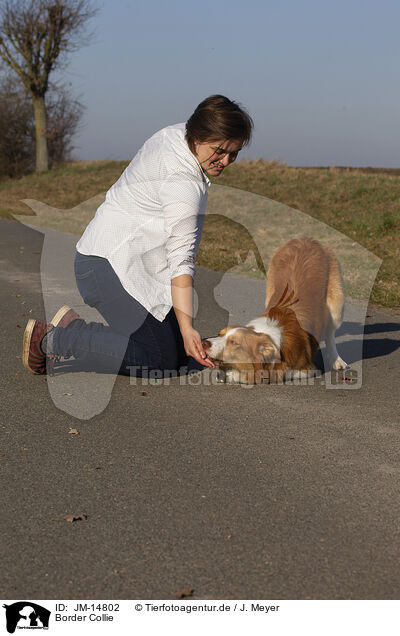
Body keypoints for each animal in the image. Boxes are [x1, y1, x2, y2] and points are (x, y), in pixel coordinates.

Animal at [203, 237, 346, 382]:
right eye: (219, 334)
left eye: (233, 342)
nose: (204, 343)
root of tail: (305, 240)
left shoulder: (307, 369)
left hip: (336, 306)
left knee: (330, 333)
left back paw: (337, 360)